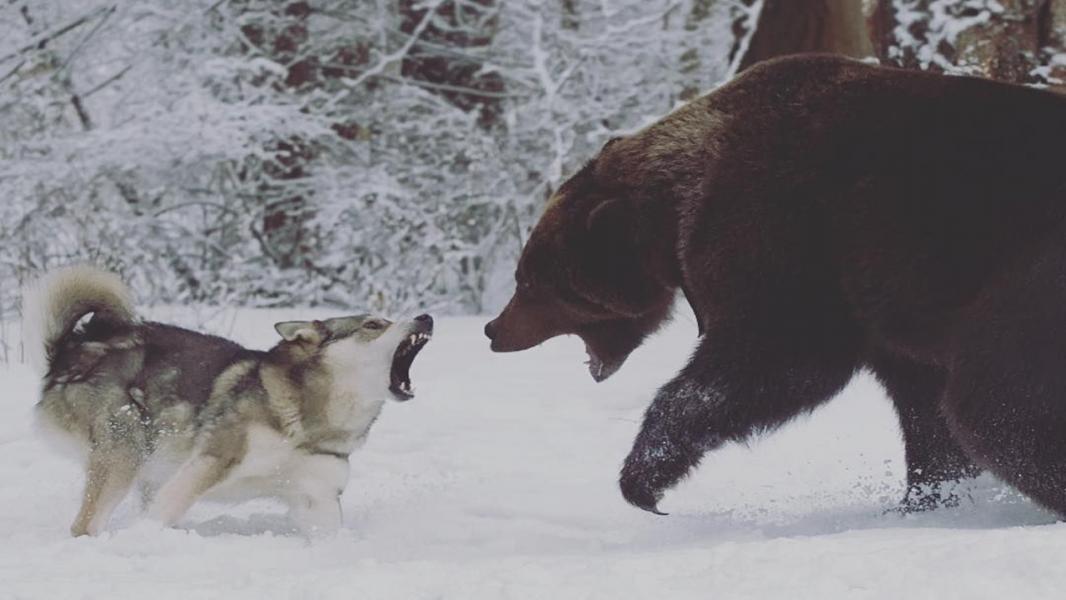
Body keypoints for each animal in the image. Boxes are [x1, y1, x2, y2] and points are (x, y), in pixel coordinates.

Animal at [20, 265, 430, 537]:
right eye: (374, 325)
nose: (425, 317)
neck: (308, 420)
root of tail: (69, 352)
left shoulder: (320, 498)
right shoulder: (210, 462)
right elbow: (160, 513)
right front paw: (142, 540)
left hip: (153, 463)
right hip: (125, 452)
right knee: (85, 525)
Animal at [486, 55, 1066, 515]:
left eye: (529, 280)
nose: (494, 329)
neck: (674, 210)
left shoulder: (785, 233)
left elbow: (775, 359)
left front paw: (644, 479)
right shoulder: (881, 310)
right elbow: (925, 415)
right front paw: (923, 499)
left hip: (1026, 276)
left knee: (996, 402)